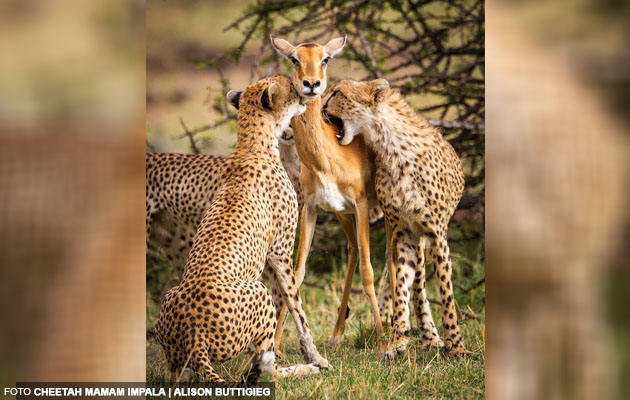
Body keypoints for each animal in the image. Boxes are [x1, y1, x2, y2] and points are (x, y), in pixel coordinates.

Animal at [156, 73, 330, 382]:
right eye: (290, 86)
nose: (306, 90)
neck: (252, 144)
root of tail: (194, 337)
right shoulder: (280, 252)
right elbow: (296, 304)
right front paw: (317, 358)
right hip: (257, 289)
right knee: (268, 371)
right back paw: (303, 369)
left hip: (171, 303)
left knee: (176, 376)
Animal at [324, 77, 472, 356]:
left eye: (337, 92)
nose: (320, 105)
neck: (390, 146)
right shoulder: (405, 232)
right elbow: (401, 283)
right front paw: (397, 337)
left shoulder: (436, 234)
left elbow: (446, 292)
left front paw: (456, 346)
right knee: (412, 282)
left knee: (419, 283)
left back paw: (431, 337)